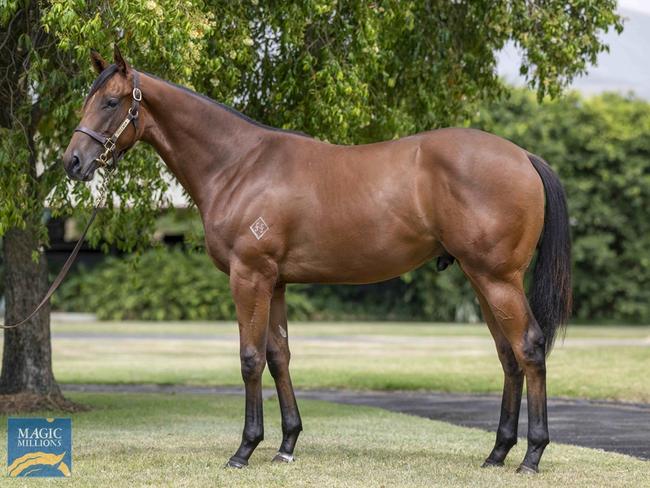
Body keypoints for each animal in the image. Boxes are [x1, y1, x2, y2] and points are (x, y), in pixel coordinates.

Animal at [60, 47, 568, 474]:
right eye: (87, 100)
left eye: (110, 102)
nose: (72, 162)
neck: (238, 165)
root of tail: (523, 155)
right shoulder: (276, 282)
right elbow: (278, 356)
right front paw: (286, 445)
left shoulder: (249, 277)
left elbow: (249, 358)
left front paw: (245, 449)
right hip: (482, 279)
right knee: (507, 356)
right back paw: (497, 453)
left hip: (497, 278)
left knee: (529, 347)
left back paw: (532, 456)